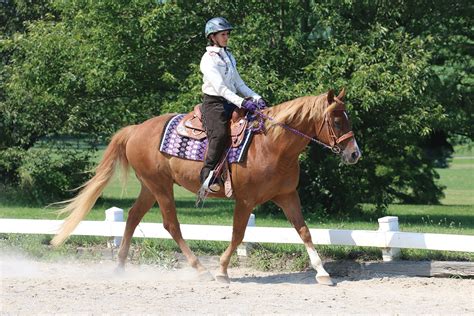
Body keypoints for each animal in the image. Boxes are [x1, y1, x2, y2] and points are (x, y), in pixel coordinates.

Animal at [51, 88, 362, 284]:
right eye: (336, 120)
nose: (354, 154)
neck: (272, 145)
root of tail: (135, 129)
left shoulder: (287, 196)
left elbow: (304, 231)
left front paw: (322, 272)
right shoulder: (245, 201)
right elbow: (237, 235)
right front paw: (222, 270)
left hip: (150, 188)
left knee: (132, 218)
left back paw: (119, 266)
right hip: (161, 188)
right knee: (171, 225)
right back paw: (200, 269)